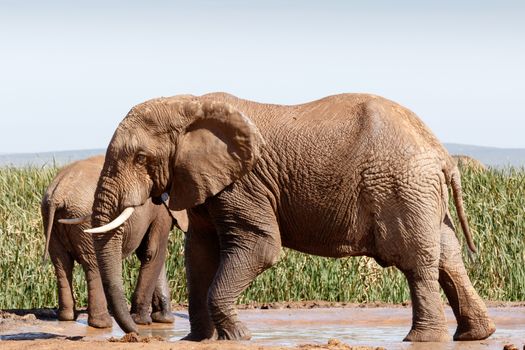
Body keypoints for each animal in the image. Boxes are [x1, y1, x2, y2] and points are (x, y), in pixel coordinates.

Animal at [41, 156, 188, 328]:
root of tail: (57, 193)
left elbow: (149, 253)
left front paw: (163, 319)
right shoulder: (160, 209)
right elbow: (153, 252)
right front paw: (142, 321)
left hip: (50, 219)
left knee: (61, 263)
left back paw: (67, 317)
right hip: (84, 221)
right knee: (92, 264)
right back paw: (103, 324)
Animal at [87, 92, 496, 342]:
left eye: (140, 157)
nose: (135, 335)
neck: (189, 104)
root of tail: (440, 153)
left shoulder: (245, 182)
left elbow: (261, 247)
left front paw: (240, 338)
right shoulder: (202, 181)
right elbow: (199, 254)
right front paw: (199, 340)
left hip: (400, 187)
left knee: (415, 261)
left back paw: (421, 339)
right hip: (420, 192)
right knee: (448, 257)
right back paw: (475, 336)